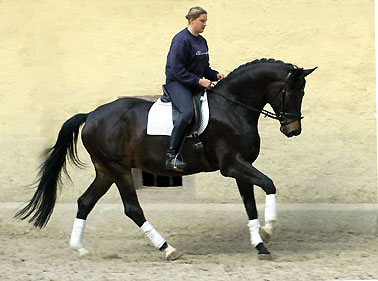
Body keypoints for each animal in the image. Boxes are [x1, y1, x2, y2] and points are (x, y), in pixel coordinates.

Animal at [14, 58, 316, 260]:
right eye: (292, 92)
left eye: (302, 93)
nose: (293, 129)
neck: (232, 106)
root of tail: (91, 115)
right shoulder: (232, 166)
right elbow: (269, 184)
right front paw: (269, 230)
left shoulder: (243, 166)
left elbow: (250, 205)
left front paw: (260, 244)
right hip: (119, 169)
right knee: (132, 209)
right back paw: (167, 248)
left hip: (106, 170)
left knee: (85, 202)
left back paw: (79, 248)